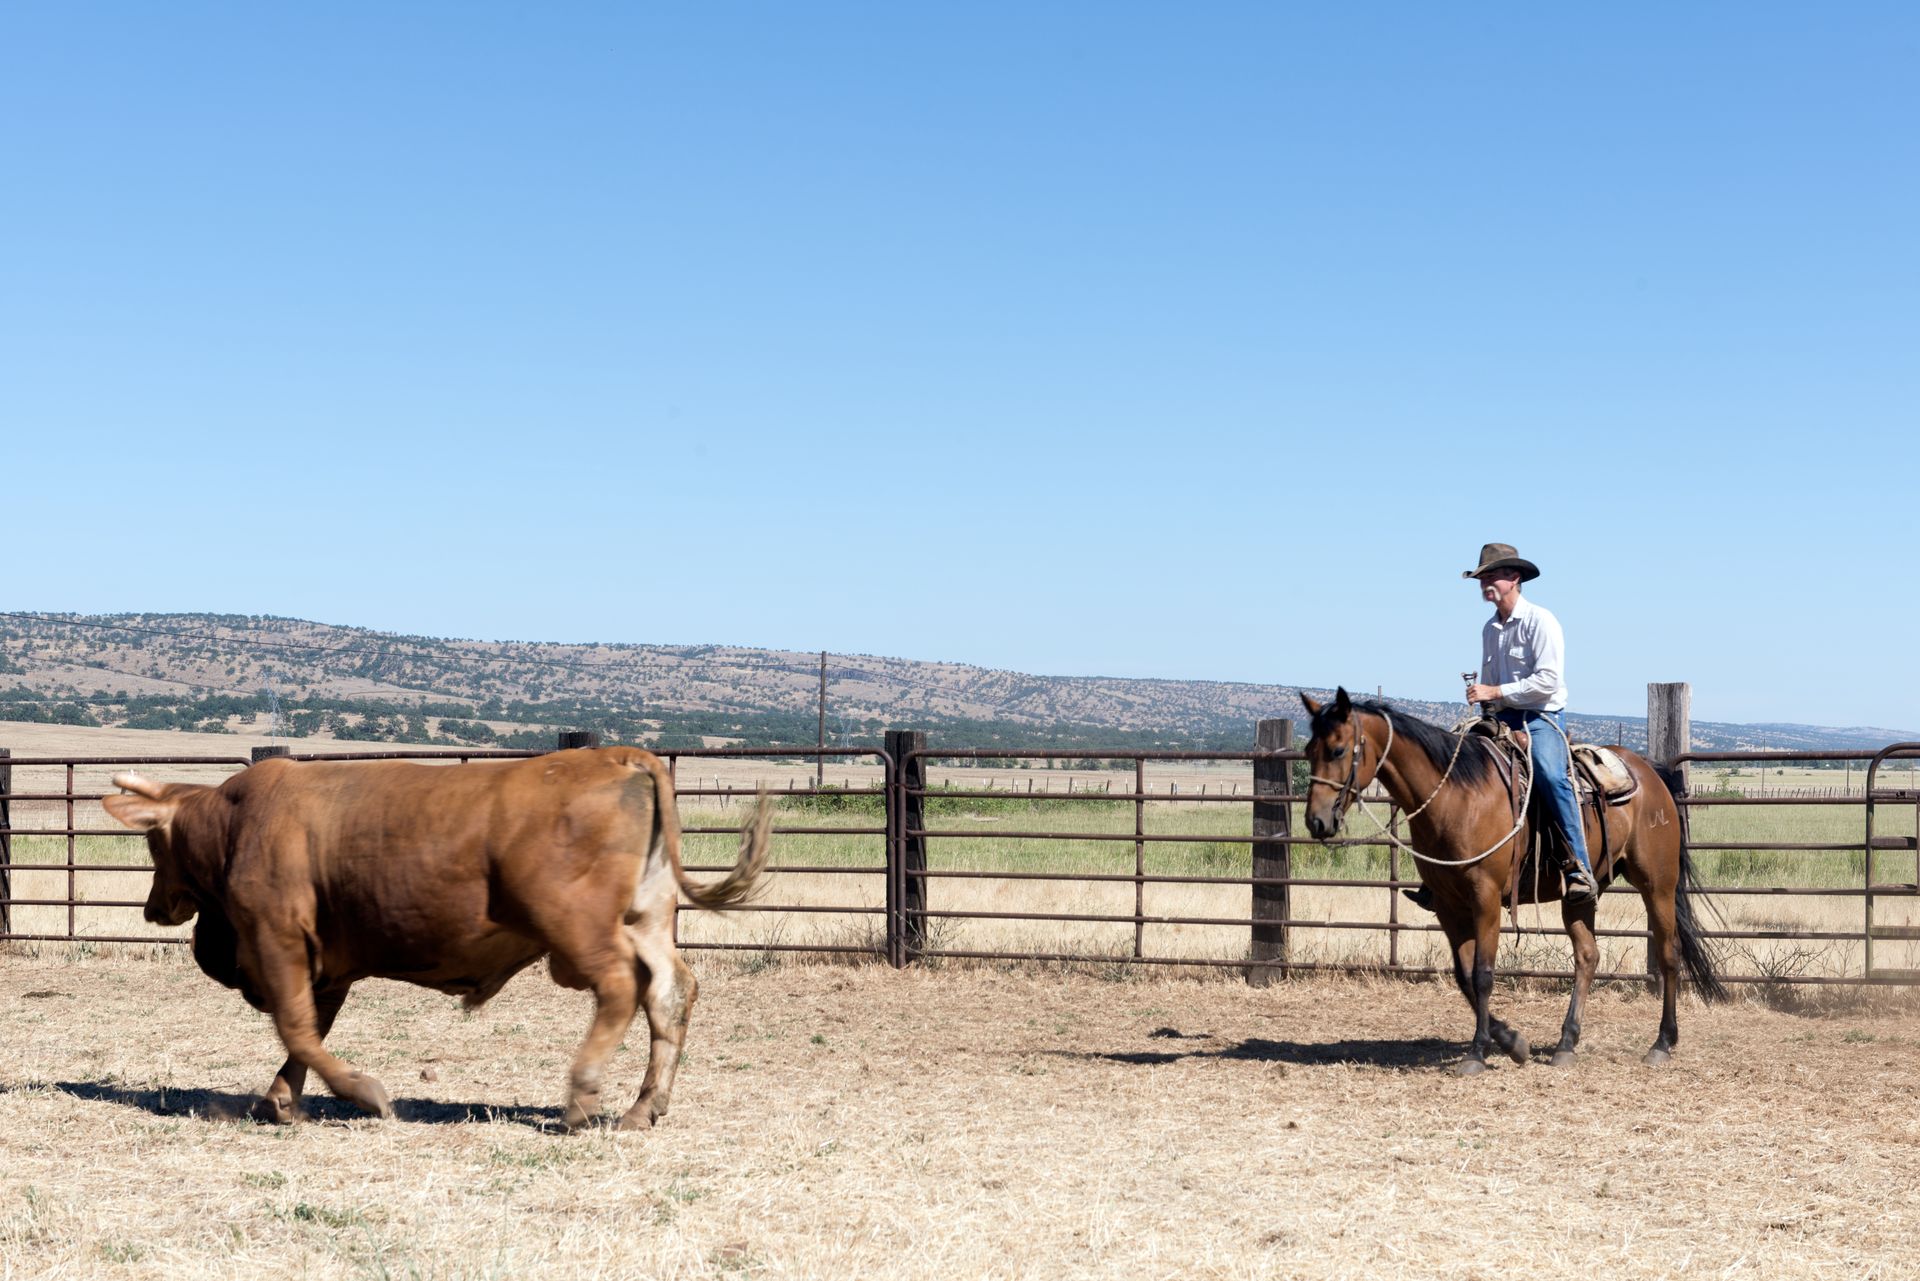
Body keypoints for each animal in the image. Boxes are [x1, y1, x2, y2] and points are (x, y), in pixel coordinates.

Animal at [101, 747, 771, 1131]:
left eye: (153, 842)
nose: (153, 907)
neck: (235, 821)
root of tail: (618, 755)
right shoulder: (330, 961)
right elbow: (308, 1032)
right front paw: (281, 1101)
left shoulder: (276, 935)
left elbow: (296, 1026)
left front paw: (363, 1094)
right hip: (647, 916)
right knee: (669, 993)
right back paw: (643, 1107)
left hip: (579, 926)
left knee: (619, 987)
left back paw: (583, 1095)